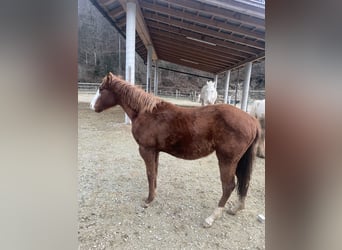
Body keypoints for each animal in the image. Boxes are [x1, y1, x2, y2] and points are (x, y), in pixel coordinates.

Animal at [89, 72, 260, 227]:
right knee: (244, 182)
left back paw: (212, 217)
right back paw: (236, 208)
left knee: (229, 186)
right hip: (238, 161)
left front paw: (148, 200)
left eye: (101, 89)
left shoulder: (146, 150)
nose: (91, 106)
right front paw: (154, 194)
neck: (146, 112)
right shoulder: (155, 151)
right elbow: (154, 173)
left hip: (226, 160)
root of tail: (252, 120)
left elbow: (150, 174)